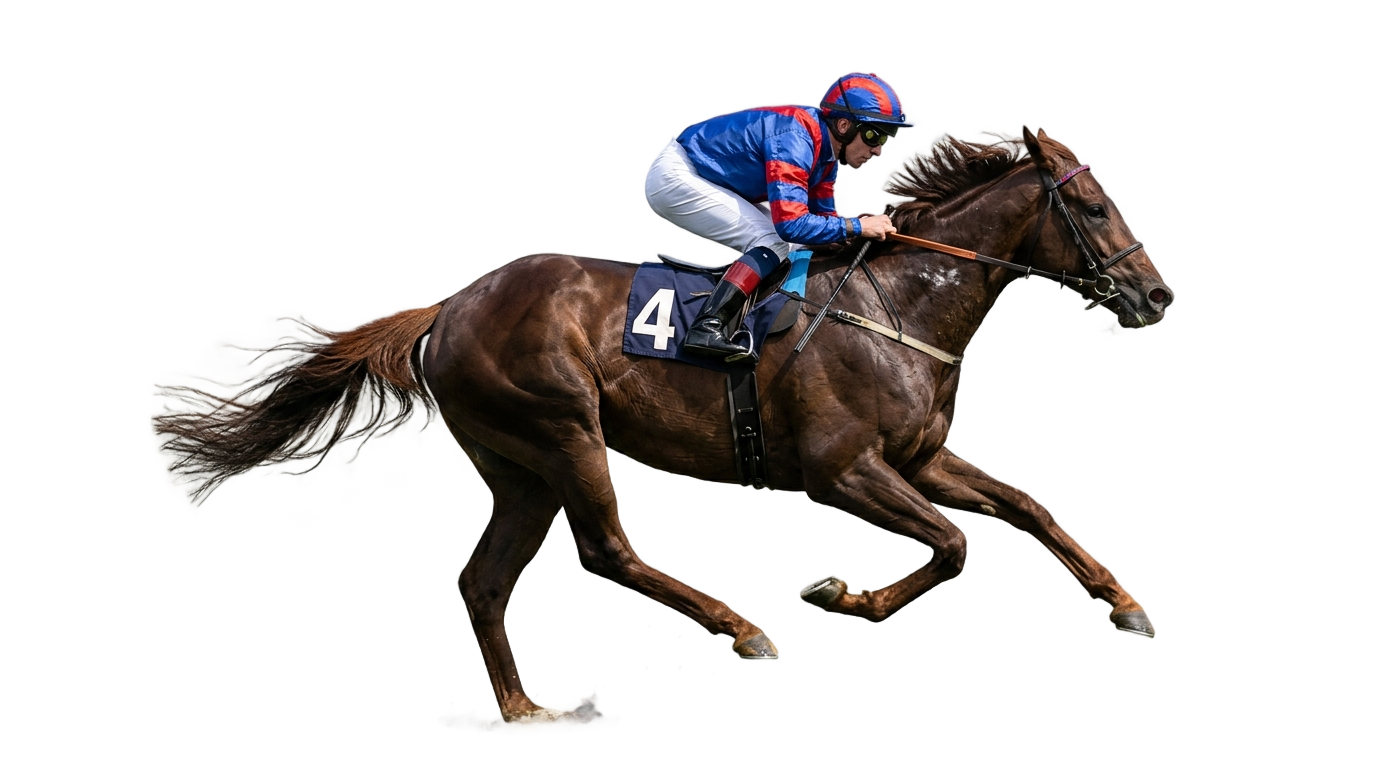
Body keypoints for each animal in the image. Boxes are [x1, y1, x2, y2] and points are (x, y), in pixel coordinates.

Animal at [156, 128, 1174, 719]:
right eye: (1092, 207)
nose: (1157, 293)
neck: (899, 304)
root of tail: (444, 309)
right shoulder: (842, 468)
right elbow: (952, 546)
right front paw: (846, 599)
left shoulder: (920, 459)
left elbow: (1026, 508)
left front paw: (1128, 604)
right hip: (563, 430)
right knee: (606, 553)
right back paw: (745, 631)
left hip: (518, 469)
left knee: (484, 583)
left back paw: (525, 714)